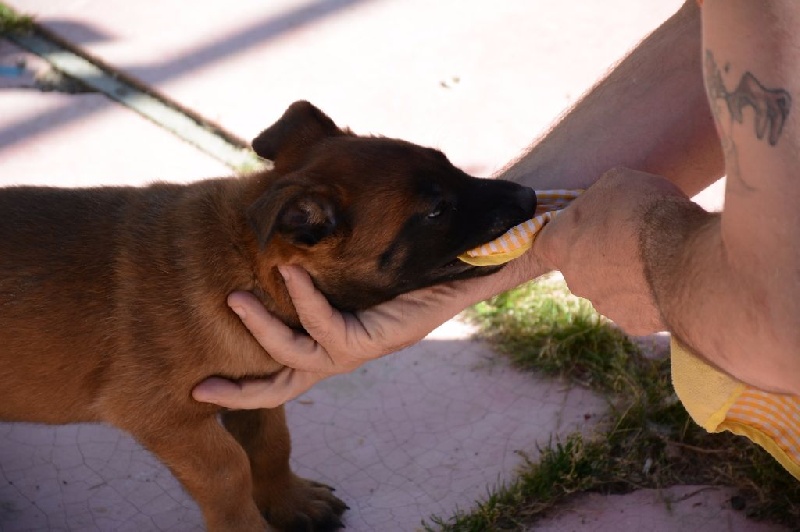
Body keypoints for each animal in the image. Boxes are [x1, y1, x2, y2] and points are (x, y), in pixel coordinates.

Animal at [0, 101, 536, 531]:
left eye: (452, 167)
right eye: (436, 211)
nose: (530, 197)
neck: (245, 262)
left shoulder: (253, 389)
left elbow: (272, 444)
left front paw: (289, 501)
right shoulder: (167, 419)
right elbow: (229, 472)